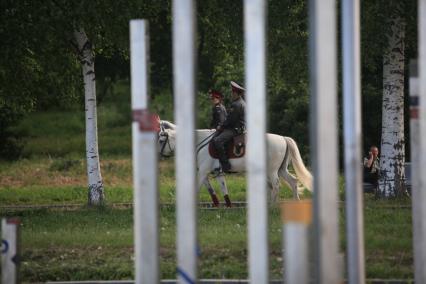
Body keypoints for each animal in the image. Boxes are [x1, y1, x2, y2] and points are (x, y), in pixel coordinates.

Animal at [159, 120, 312, 206]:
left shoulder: (203, 171)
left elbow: (197, 186)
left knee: (276, 185)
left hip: (272, 171)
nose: (159, 156)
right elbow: (219, 189)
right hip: (281, 170)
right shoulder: (213, 172)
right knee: (292, 181)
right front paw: (223, 205)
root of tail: (283, 138)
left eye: (161, 140)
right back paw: (295, 203)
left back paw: (273, 206)